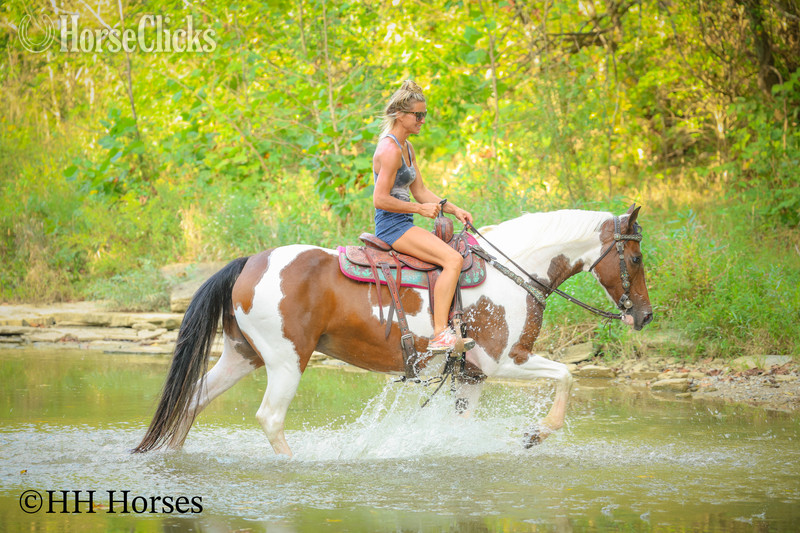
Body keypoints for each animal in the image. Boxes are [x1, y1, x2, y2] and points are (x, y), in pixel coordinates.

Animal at [133, 205, 652, 456]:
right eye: (636, 257)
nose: (645, 316)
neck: (516, 270)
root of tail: (250, 263)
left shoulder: (472, 376)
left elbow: (459, 428)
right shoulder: (503, 360)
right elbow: (567, 375)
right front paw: (536, 434)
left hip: (243, 354)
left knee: (194, 398)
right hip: (286, 361)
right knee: (270, 418)